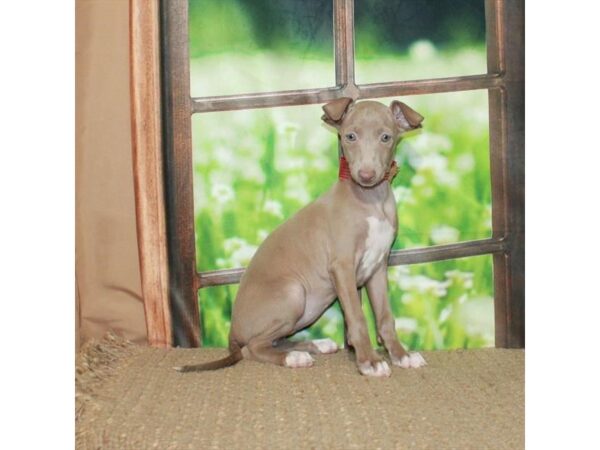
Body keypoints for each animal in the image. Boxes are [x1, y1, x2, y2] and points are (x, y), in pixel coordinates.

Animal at [176, 97, 428, 376]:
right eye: (350, 136)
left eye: (386, 137)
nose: (366, 175)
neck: (370, 201)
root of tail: (232, 331)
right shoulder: (342, 267)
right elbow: (358, 318)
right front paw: (369, 361)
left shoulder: (378, 268)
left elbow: (385, 318)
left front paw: (401, 355)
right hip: (294, 293)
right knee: (253, 348)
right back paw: (294, 358)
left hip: (306, 309)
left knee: (276, 341)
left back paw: (315, 345)